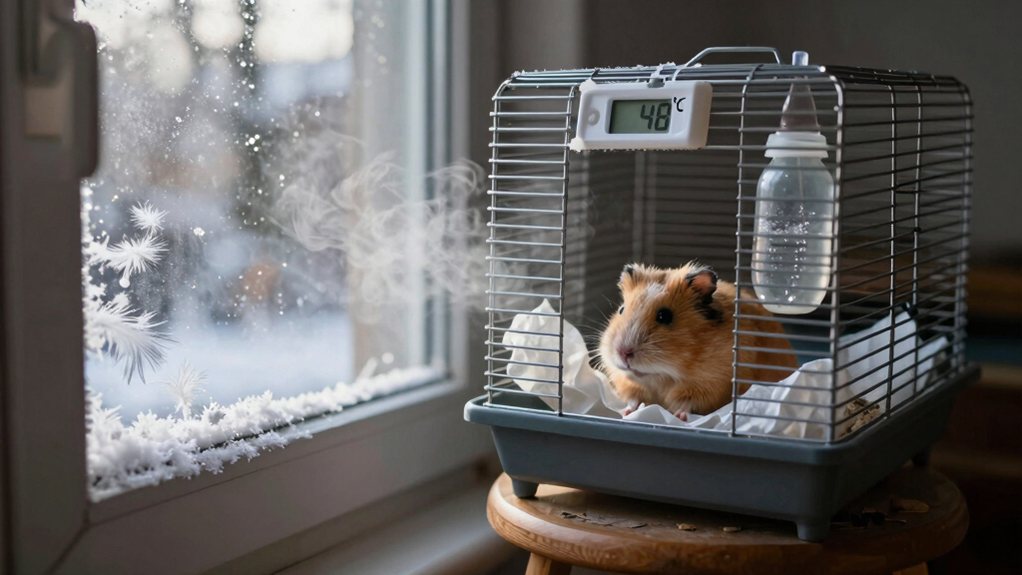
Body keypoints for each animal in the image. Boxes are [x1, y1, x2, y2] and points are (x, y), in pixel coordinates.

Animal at [598, 261, 799, 419]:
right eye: (621, 310)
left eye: (664, 316)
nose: (623, 353)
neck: (663, 377)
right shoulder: (628, 383)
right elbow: (633, 399)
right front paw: (626, 413)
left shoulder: (711, 385)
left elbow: (687, 404)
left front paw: (680, 416)